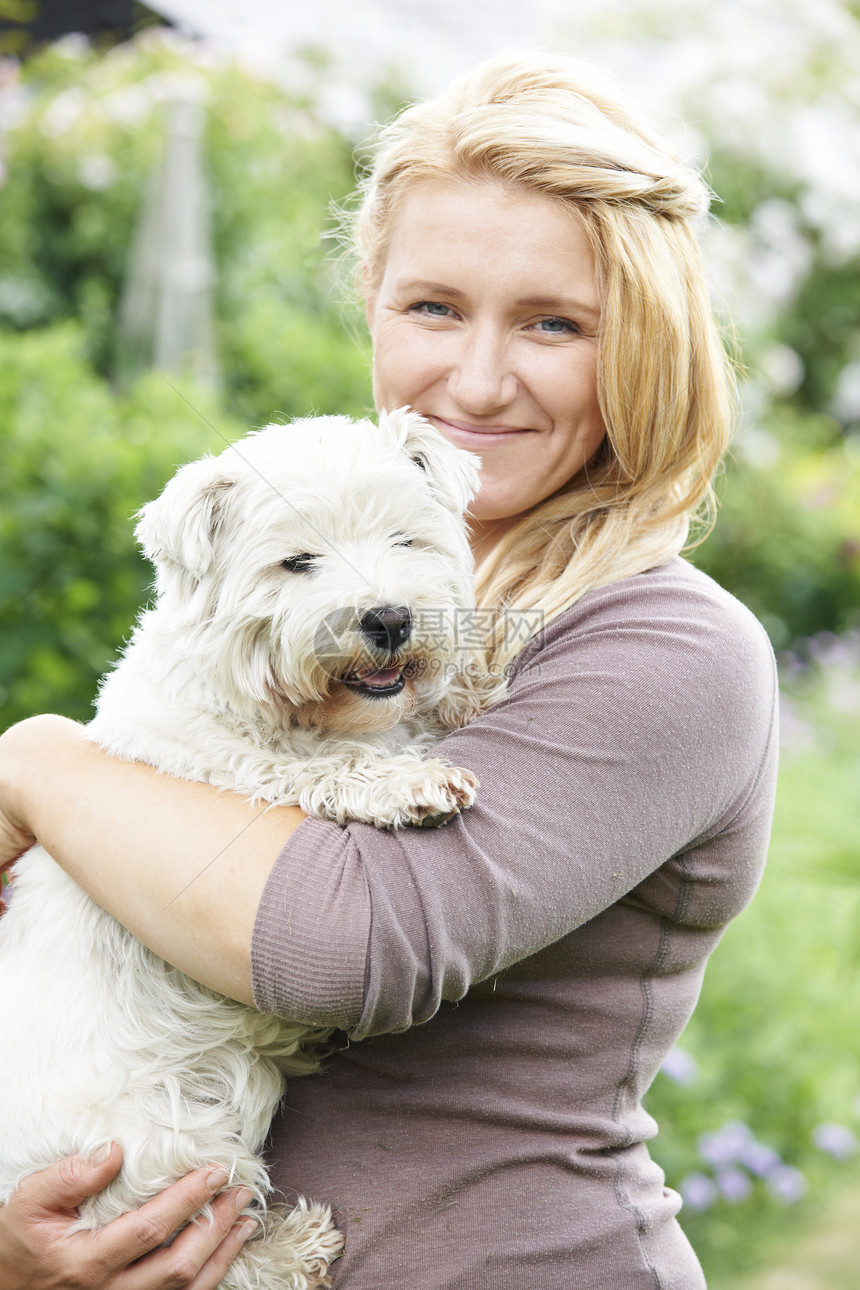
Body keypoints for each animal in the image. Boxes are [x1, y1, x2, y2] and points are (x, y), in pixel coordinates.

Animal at [0, 412, 489, 1290]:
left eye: (405, 539)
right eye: (296, 561)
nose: (390, 620)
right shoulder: (226, 770)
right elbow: (318, 769)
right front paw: (410, 783)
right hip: (164, 1149)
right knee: (212, 1249)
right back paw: (296, 1247)